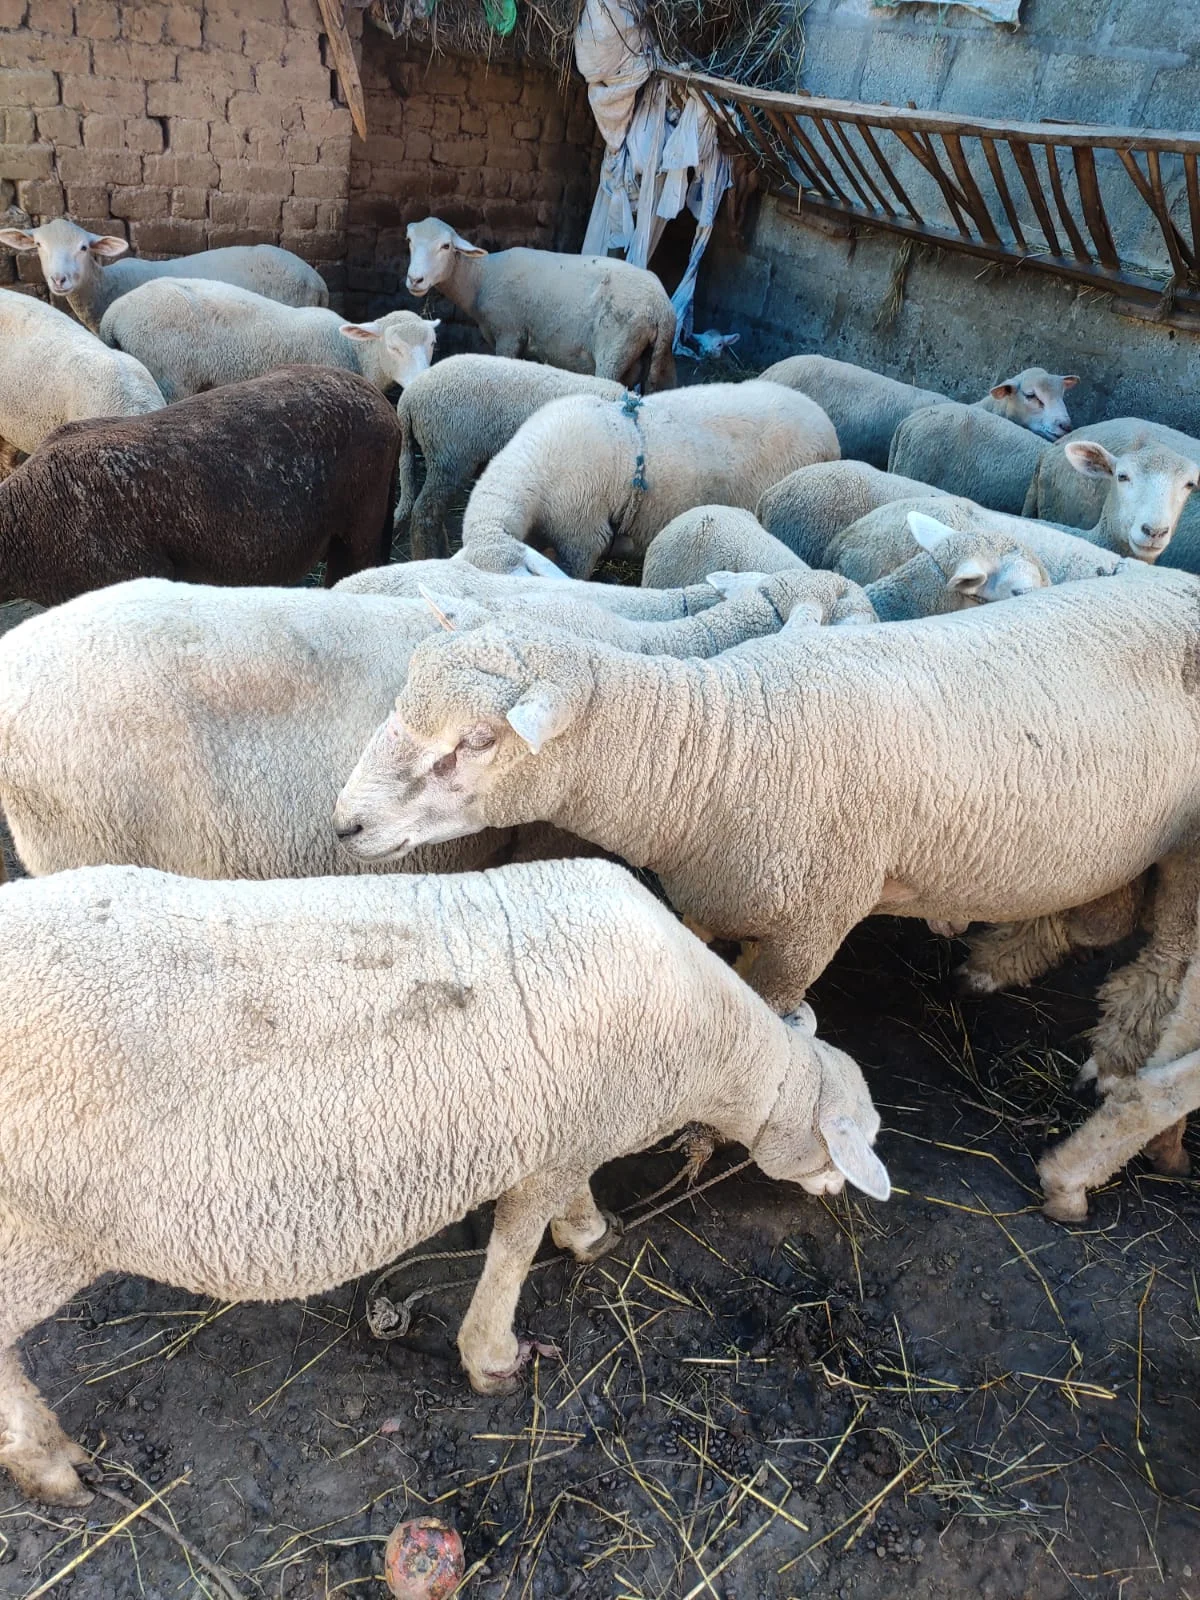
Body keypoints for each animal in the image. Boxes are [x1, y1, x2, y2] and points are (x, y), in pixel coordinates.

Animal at [0, 856, 889, 1505]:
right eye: (856, 1140)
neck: (713, 1051)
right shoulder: (556, 1142)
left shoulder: (575, 1132)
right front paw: (495, 1352)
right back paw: (50, 1466)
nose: (842, 1195)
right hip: (29, 1238)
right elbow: (517, 1247)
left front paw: (588, 1235)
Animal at [98, 279, 437, 403]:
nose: (422, 381)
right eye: (394, 347)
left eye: (433, 344)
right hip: (170, 376)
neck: (354, 351)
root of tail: (114, 314)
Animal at [335, 572, 1200, 1151]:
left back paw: (1114, 1062)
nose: (347, 824)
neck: (728, 749)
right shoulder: (715, 894)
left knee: (1167, 954)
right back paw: (1001, 960)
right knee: (1102, 915)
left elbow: (770, 1009)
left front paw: (712, 1135)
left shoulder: (815, 920)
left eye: (479, 741)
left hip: (1189, 849)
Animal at [405, 216, 676, 392]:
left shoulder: (509, 333)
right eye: (409, 241)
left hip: (615, 347)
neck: (481, 277)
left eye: (446, 246)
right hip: (659, 358)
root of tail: (660, 306)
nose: (415, 280)